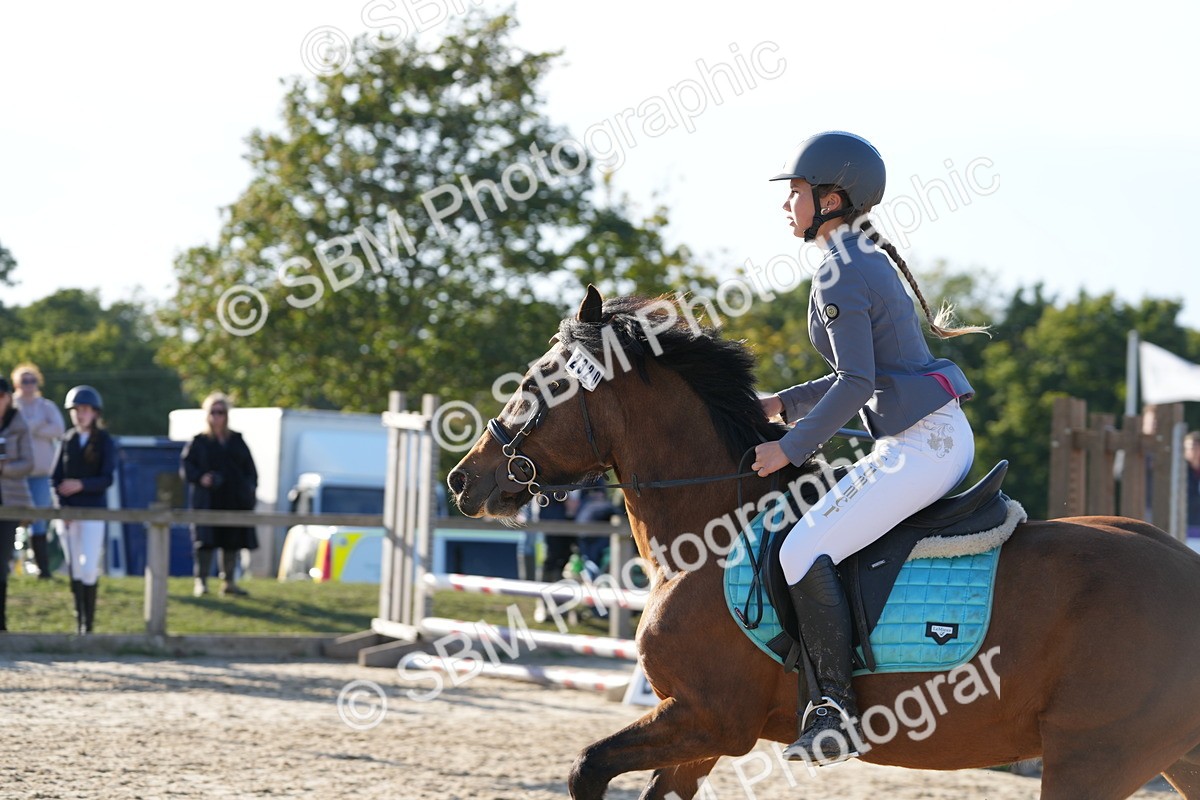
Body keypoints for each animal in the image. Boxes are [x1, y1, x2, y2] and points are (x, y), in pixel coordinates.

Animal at [447, 287, 1200, 800]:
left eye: (537, 384)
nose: (463, 478)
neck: (708, 531)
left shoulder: (709, 717)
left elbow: (587, 768)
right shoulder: (697, 733)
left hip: (1093, 758)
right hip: (1174, 756)